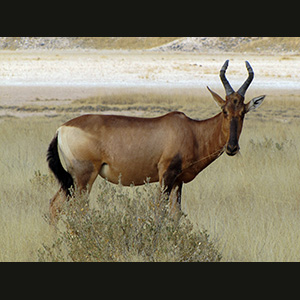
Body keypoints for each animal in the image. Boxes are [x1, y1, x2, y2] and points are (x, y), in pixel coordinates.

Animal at [47, 59, 264, 221]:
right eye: (225, 111)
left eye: (243, 112)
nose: (232, 148)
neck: (191, 130)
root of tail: (61, 128)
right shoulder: (166, 175)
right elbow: (159, 211)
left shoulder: (178, 181)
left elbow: (176, 215)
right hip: (84, 176)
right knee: (77, 209)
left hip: (71, 179)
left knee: (55, 205)